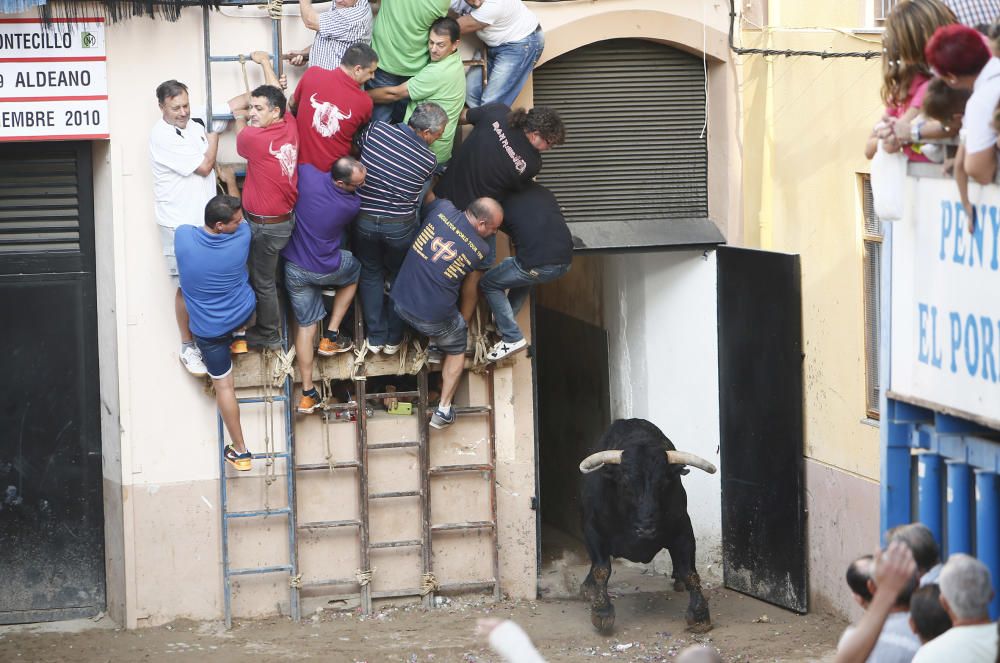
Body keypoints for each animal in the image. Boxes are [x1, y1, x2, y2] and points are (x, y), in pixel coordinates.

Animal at [580, 420, 720, 632]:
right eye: (625, 483)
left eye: (663, 483)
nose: (646, 529)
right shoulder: (592, 529)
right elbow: (601, 569)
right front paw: (601, 610)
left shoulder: (683, 529)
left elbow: (690, 572)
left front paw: (699, 614)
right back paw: (588, 588)